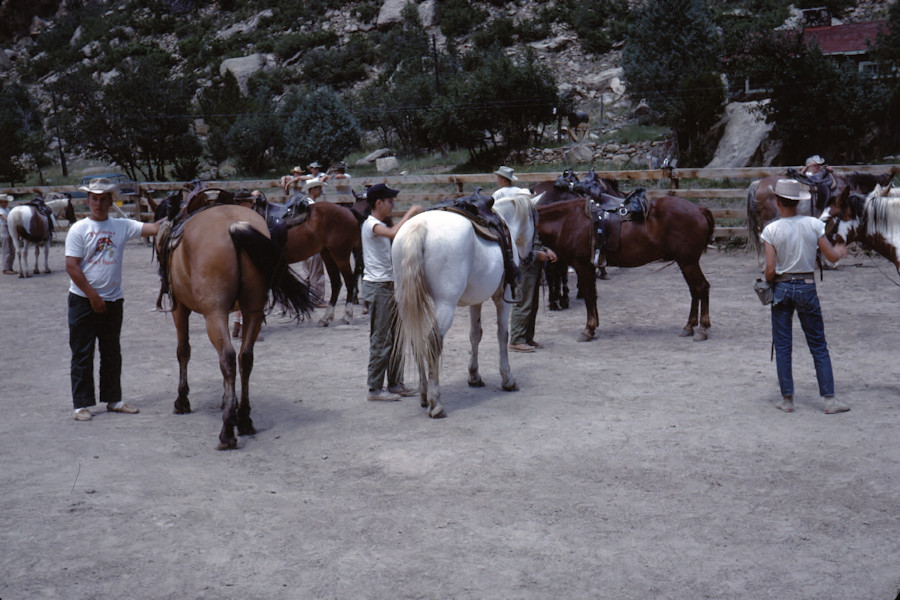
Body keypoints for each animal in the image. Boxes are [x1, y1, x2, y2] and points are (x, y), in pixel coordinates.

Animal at [158, 203, 316, 450]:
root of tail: (233, 226)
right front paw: (227, 403)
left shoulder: (180, 308)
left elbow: (183, 351)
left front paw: (182, 400)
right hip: (253, 311)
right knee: (245, 358)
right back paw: (243, 419)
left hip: (214, 314)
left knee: (228, 358)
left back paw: (227, 431)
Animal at [390, 192, 536, 418]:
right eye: (534, 219)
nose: (530, 257)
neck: (504, 221)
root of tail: (420, 226)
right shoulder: (503, 298)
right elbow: (502, 334)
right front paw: (507, 379)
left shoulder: (475, 301)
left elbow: (475, 334)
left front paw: (474, 376)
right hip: (445, 305)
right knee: (433, 342)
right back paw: (435, 402)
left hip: (408, 302)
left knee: (417, 342)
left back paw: (424, 395)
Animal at [536, 193, 716, 342]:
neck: (567, 221)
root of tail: (698, 209)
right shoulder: (590, 267)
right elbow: (592, 296)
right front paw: (593, 327)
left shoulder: (583, 266)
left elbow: (588, 296)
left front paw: (588, 330)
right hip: (685, 263)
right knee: (694, 290)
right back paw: (689, 327)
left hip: (688, 262)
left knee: (702, 287)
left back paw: (702, 329)